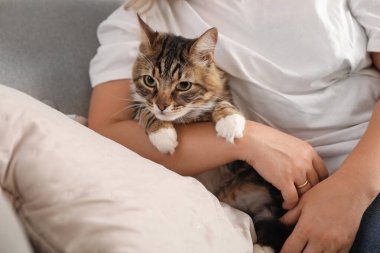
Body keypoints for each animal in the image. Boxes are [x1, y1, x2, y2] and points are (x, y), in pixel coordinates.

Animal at [131, 15, 290, 253]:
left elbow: (220, 103)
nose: (162, 105)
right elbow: (145, 110)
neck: (185, 119)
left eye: (184, 85)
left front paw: (229, 121)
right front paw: (164, 135)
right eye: (150, 81)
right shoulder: (136, 109)